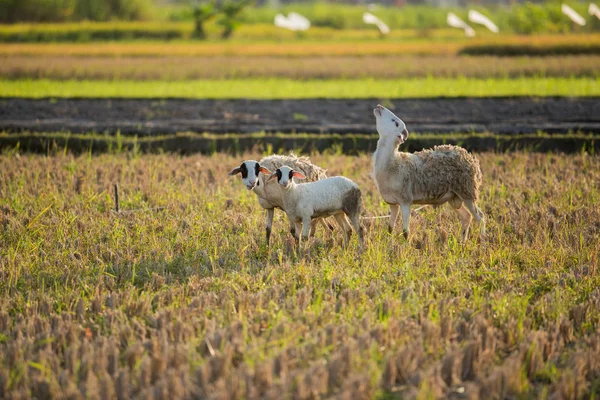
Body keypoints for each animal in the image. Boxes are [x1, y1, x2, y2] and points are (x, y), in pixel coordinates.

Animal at [372, 104, 486, 241]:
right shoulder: (392, 202)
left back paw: (483, 242)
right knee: (466, 217)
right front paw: (389, 244)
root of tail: (470, 157)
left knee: (480, 217)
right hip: (454, 196)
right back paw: (462, 243)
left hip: (467, 190)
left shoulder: (405, 200)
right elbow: (390, 229)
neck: (393, 161)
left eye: (395, 122)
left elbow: (405, 232)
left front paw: (406, 245)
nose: (379, 106)